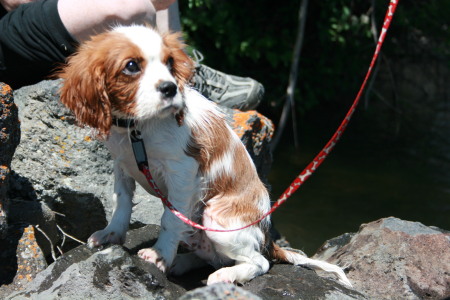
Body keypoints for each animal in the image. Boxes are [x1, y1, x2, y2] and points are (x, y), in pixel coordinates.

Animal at [57, 24, 352, 286]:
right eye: (131, 66)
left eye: (169, 63)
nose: (170, 88)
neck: (136, 129)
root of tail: (268, 238)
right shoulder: (122, 164)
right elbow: (121, 203)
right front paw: (112, 234)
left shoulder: (182, 171)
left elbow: (169, 218)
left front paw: (159, 255)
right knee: (212, 256)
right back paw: (183, 262)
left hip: (217, 216)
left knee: (258, 262)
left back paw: (225, 275)